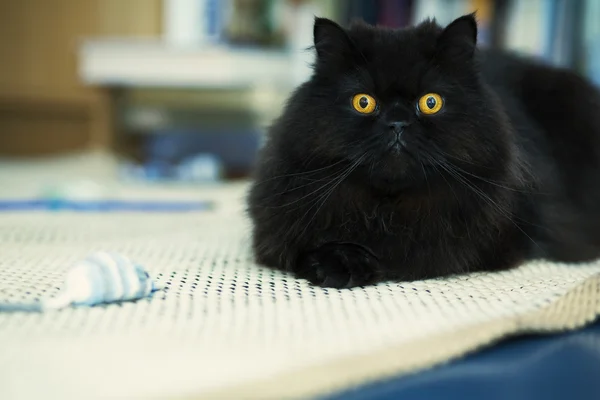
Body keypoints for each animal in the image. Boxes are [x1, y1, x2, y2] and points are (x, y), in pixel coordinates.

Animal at [245, 12, 600, 288]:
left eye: (431, 102)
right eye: (364, 102)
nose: (398, 124)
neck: (387, 208)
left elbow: (418, 254)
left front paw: (359, 263)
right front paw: (339, 265)